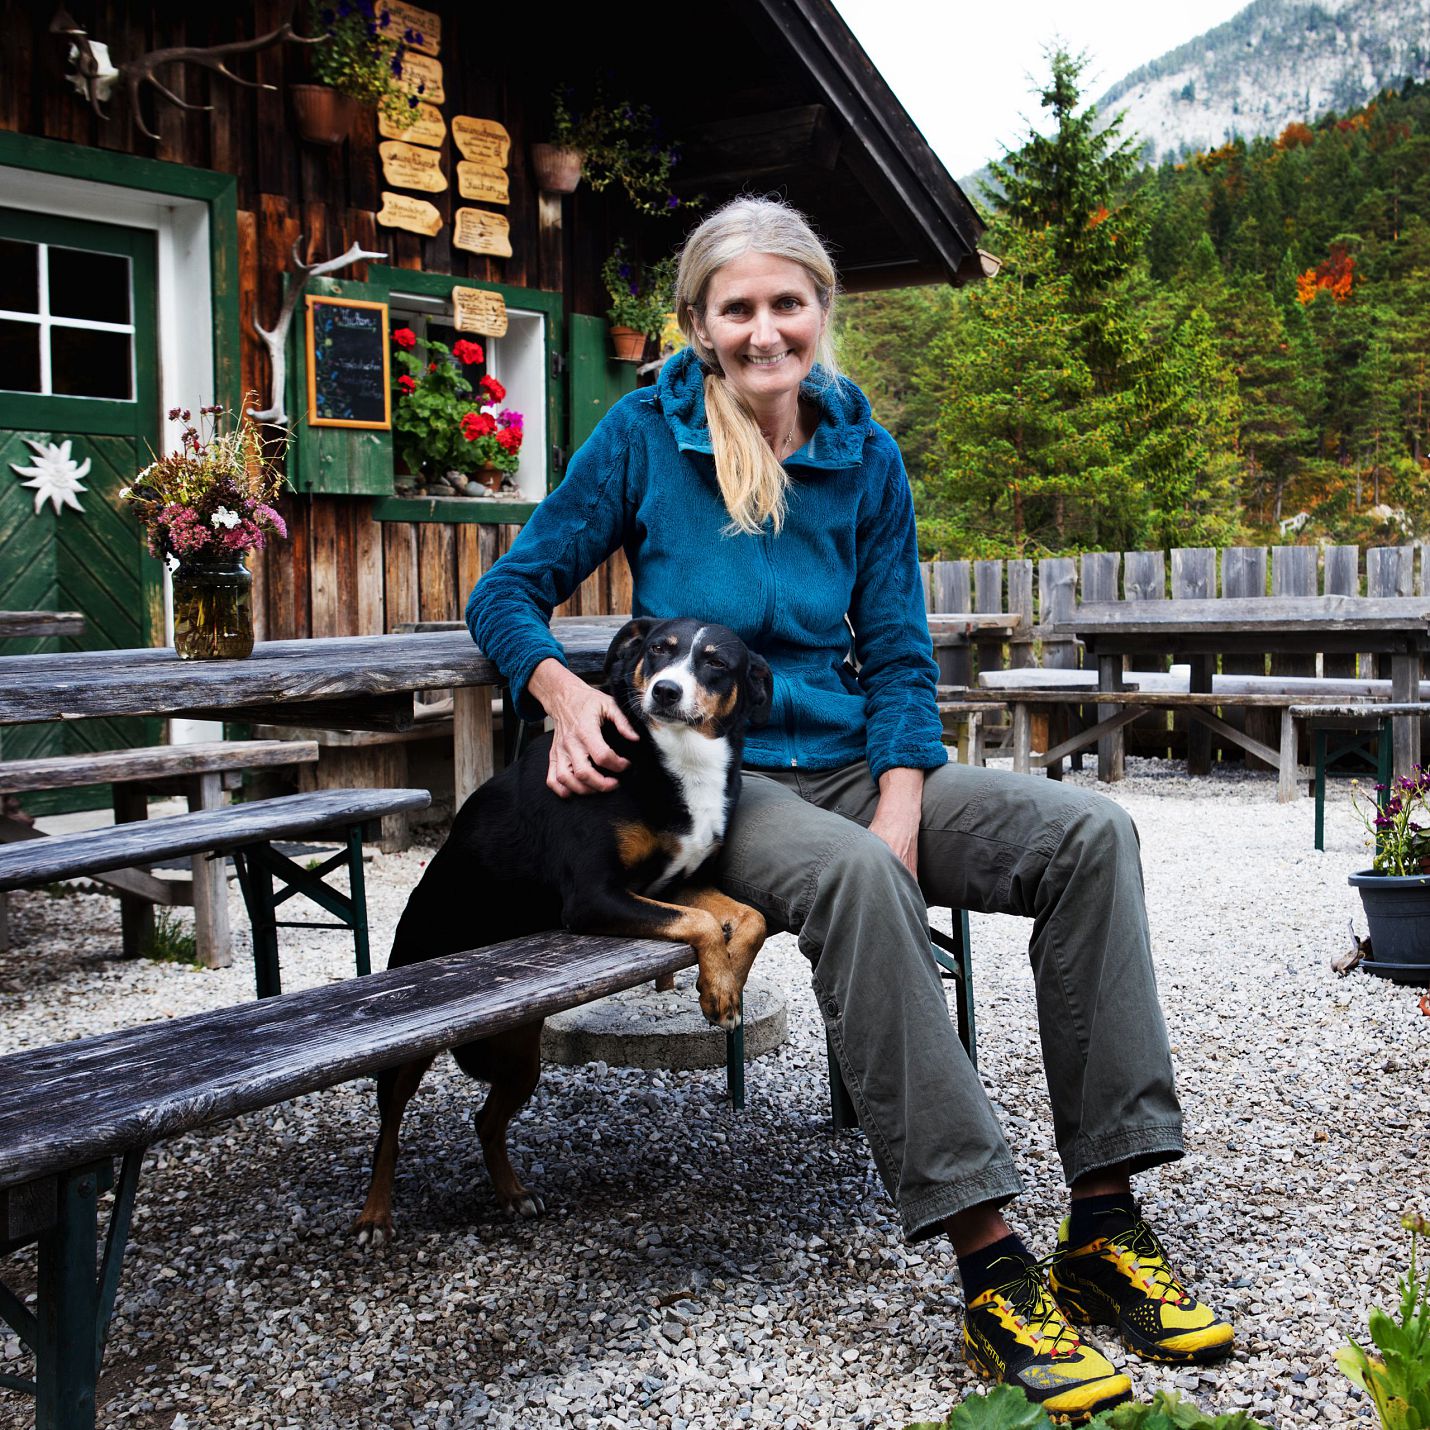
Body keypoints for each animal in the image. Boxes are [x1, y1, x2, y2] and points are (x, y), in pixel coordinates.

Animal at [354, 617, 772, 1241]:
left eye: (716, 663)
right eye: (659, 650)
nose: (665, 692)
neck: (676, 757)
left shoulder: (677, 882)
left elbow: (750, 918)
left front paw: (726, 988)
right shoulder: (594, 897)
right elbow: (701, 922)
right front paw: (717, 985)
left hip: (524, 1059)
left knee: (485, 1120)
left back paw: (511, 1194)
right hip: (409, 1050)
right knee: (390, 1130)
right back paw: (375, 1215)